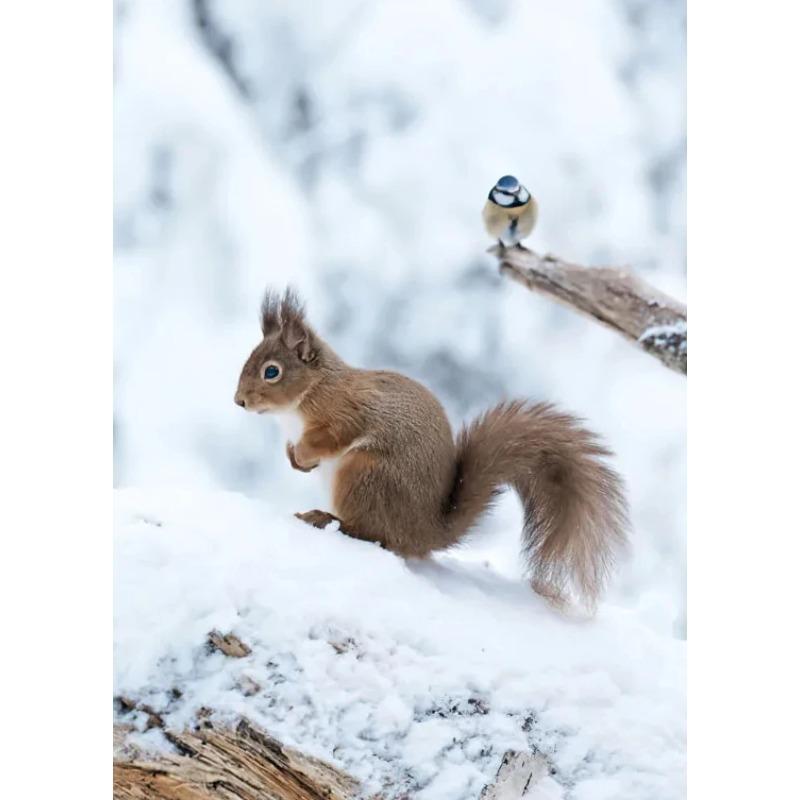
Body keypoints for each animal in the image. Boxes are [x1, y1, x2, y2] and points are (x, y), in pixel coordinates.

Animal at [234, 288, 629, 609]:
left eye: (272, 372)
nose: (239, 401)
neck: (309, 394)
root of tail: (426, 532)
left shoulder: (347, 415)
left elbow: (331, 438)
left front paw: (303, 455)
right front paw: (295, 460)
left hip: (364, 474)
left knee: (374, 536)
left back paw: (325, 519)